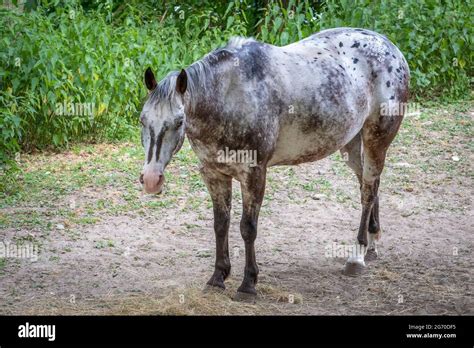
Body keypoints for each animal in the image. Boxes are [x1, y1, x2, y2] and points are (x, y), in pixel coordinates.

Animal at [138, 27, 412, 300]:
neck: (230, 95)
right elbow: (220, 225)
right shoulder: (214, 175)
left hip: (377, 139)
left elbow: (247, 228)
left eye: (178, 122)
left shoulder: (254, 175)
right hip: (351, 146)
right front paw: (218, 277)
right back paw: (372, 242)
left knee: (368, 191)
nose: (151, 179)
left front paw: (248, 284)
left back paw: (357, 256)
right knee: (369, 183)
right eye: (142, 120)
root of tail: (390, 47)